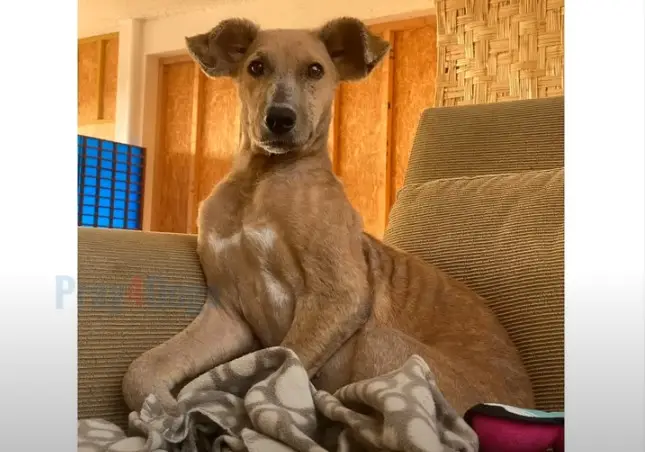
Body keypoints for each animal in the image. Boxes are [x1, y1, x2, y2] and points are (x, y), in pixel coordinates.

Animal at [123, 17, 534, 416]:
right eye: (256, 66)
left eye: (316, 70)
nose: (280, 119)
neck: (262, 179)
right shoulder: (228, 312)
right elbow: (144, 368)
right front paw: (166, 410)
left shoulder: (339, 295)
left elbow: (273, 371)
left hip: (378, 339)